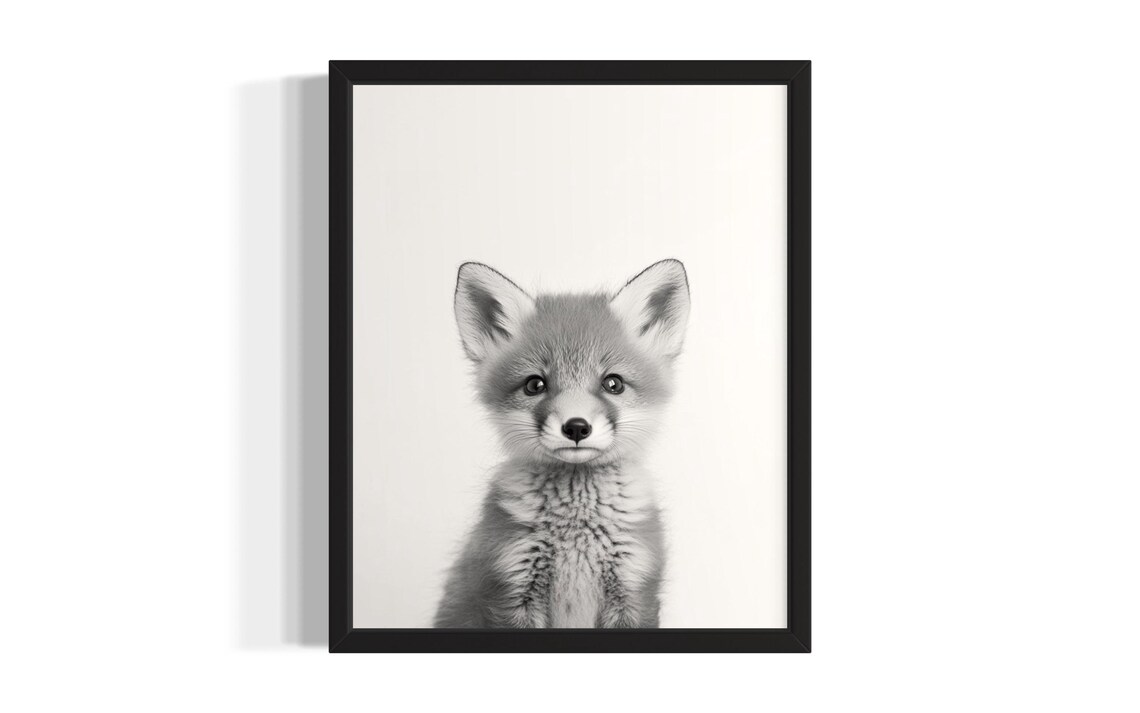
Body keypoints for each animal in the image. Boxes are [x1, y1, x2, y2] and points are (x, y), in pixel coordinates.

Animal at [434, 259, 691, 628]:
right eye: (534, 385)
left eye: (613, 383)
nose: (576, 427)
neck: (576, 528)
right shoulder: (510, 586)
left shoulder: (634, 590)